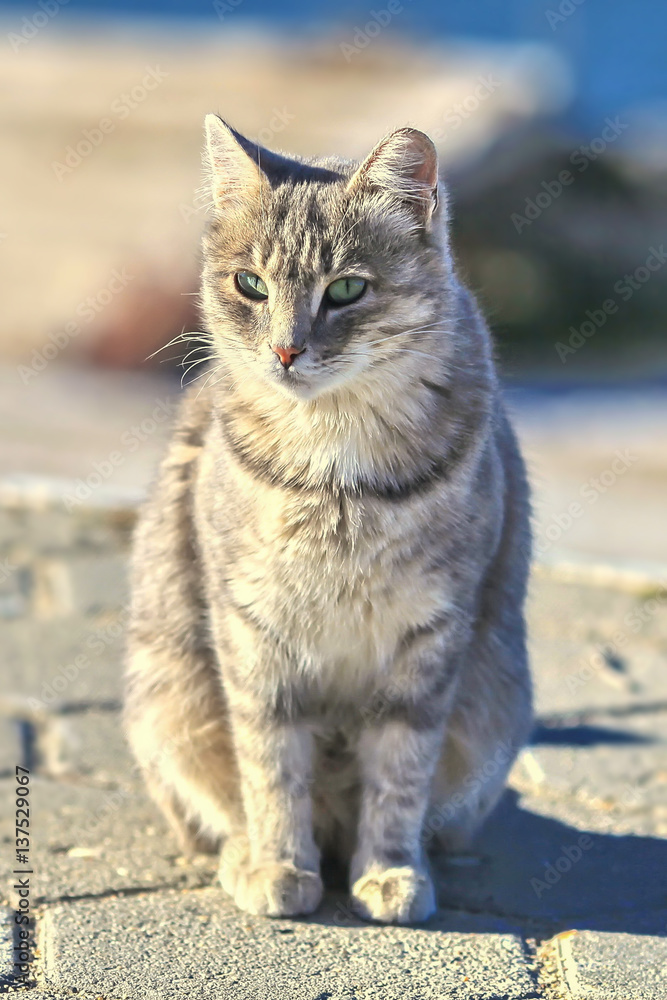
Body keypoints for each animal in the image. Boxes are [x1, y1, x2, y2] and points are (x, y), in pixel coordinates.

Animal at [124, 115, 532, 920]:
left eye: (345, 288)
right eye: (249, 284)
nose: (286, 349)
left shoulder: (430, 634)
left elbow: (400, 773)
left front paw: (390, 870)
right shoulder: (251, 628)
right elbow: (271, 764)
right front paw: (279, 863)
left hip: (494, 708)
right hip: (165, 698)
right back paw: (243, 856)